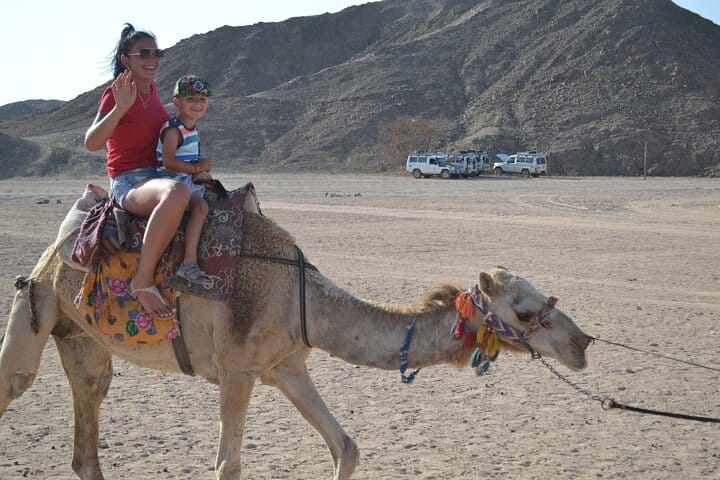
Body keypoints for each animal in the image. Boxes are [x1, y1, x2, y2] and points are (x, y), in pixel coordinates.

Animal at [0, 209, 592, 480]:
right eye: (524, 310)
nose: (582, 343)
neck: (302, 299)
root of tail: (54, 251)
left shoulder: (287, 366)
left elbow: (346, 447)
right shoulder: (237, 369)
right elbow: (228, 466)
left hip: (81, 339)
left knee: (89, 416)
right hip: (38, 304)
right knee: (16, 381)